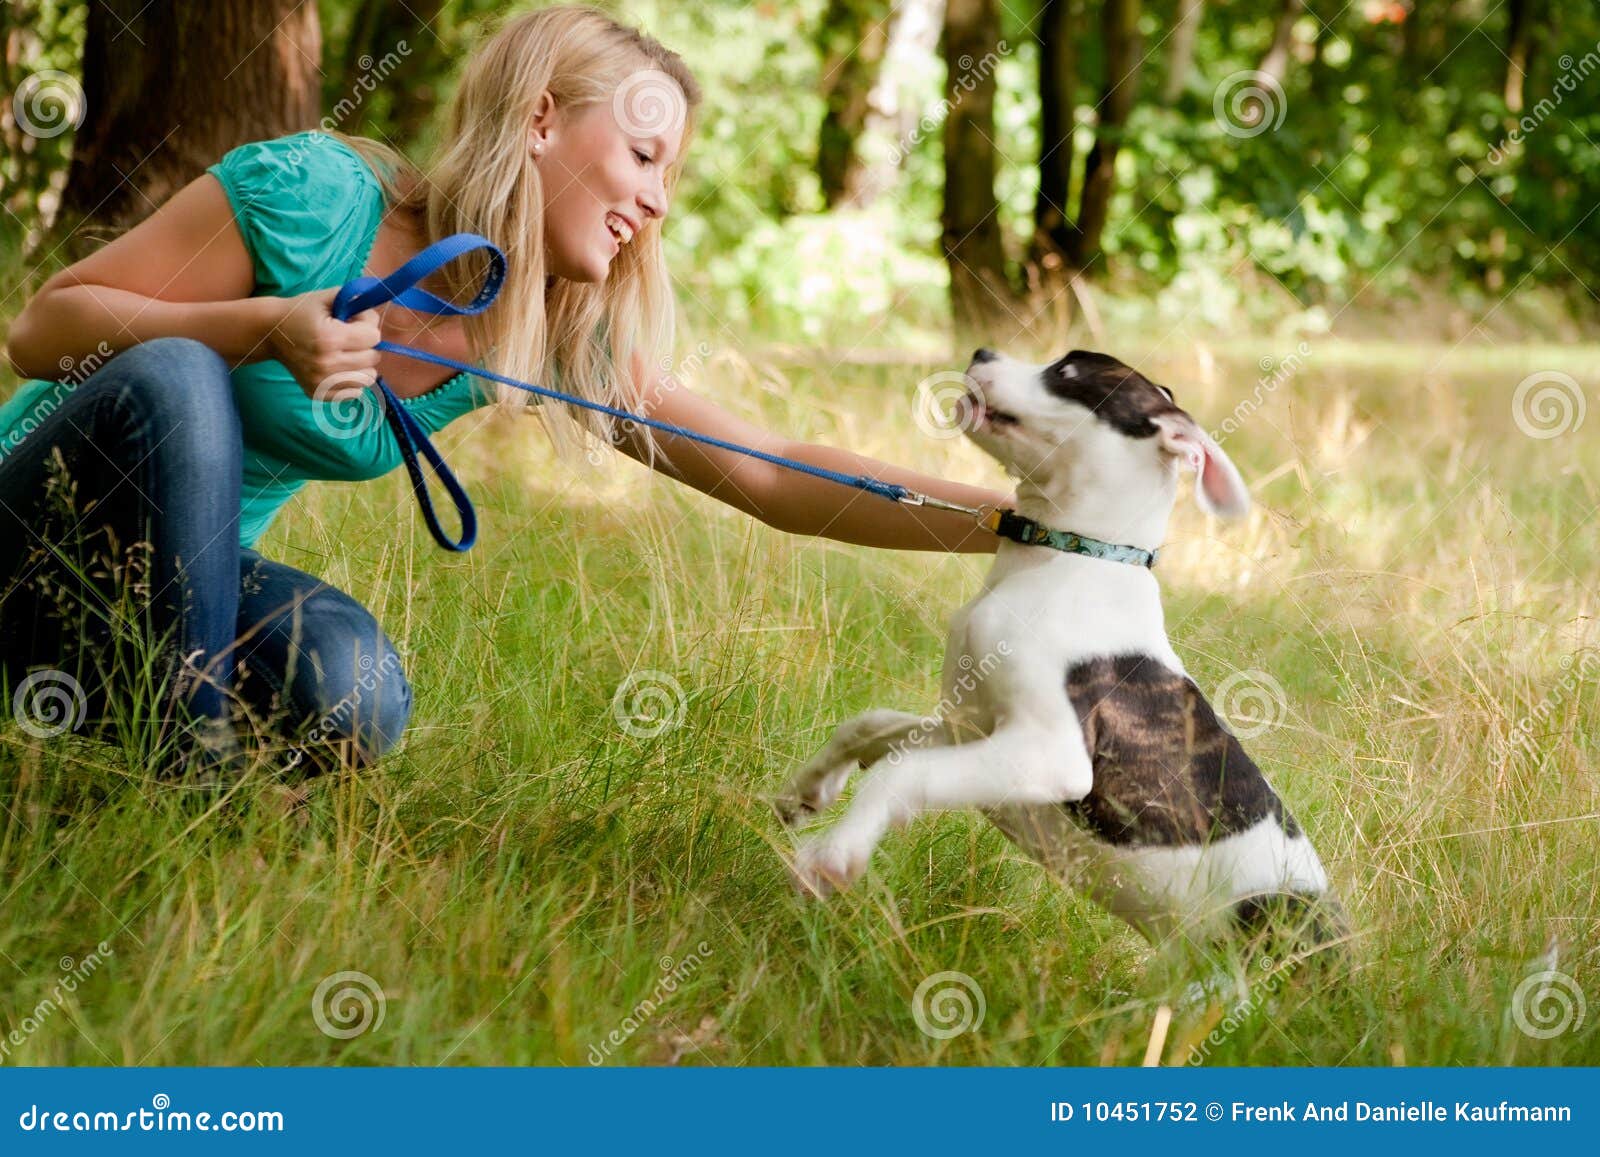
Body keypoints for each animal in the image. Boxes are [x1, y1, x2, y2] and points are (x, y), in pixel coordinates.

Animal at [774, 344, 1337, 947]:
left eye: (1067, 373)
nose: (982, 351)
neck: (1070, 554)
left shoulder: (1049, 752)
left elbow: (901, 773)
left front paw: (833, 856)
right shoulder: (970, 728)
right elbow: (870, 728)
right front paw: (807, 791)